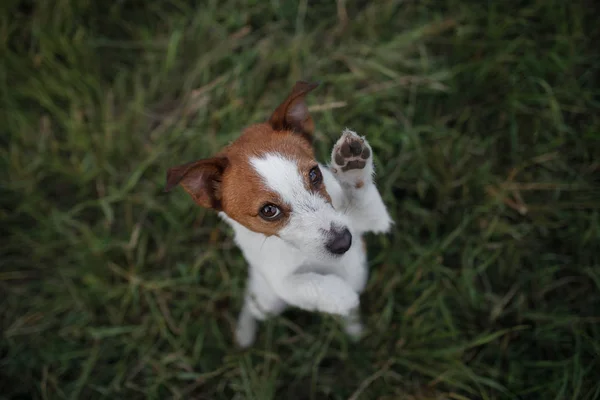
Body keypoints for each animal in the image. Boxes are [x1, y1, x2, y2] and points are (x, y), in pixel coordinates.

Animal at [165, 82, 394, 346]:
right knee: (252, 305)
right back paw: (244, 333)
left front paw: (352, 164)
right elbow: (305, 284)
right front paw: (341, 295)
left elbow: (363, 197)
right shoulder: (279, 280)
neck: (302, 251)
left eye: (315, 174)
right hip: (267, 302)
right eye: (268, 211)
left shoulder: (369, 219)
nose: (344, 242)